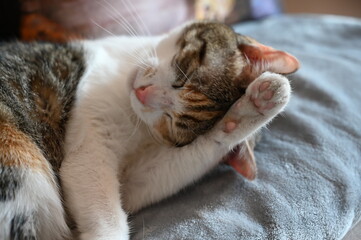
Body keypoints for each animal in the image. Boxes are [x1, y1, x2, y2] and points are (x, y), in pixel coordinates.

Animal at [0, 21, 298, 240]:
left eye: (171, 122)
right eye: (185, 72)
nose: (144, 94)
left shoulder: (134, 182)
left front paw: (256, 106)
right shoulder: (89, 152)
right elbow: (107, 216)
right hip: (20, 161)